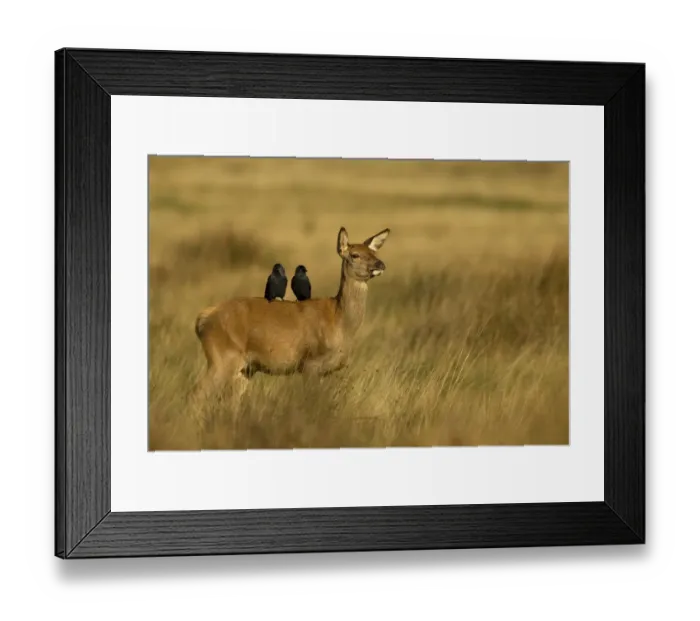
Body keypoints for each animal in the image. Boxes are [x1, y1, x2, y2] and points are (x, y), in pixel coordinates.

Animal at [191, 226, 390, 405]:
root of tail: (203, 318)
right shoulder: (310, 363)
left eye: (374, 252)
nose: (380, 264)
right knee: (198, 391)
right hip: (221, 358)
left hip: (244, 369)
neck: (339, 320)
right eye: (355, 255)